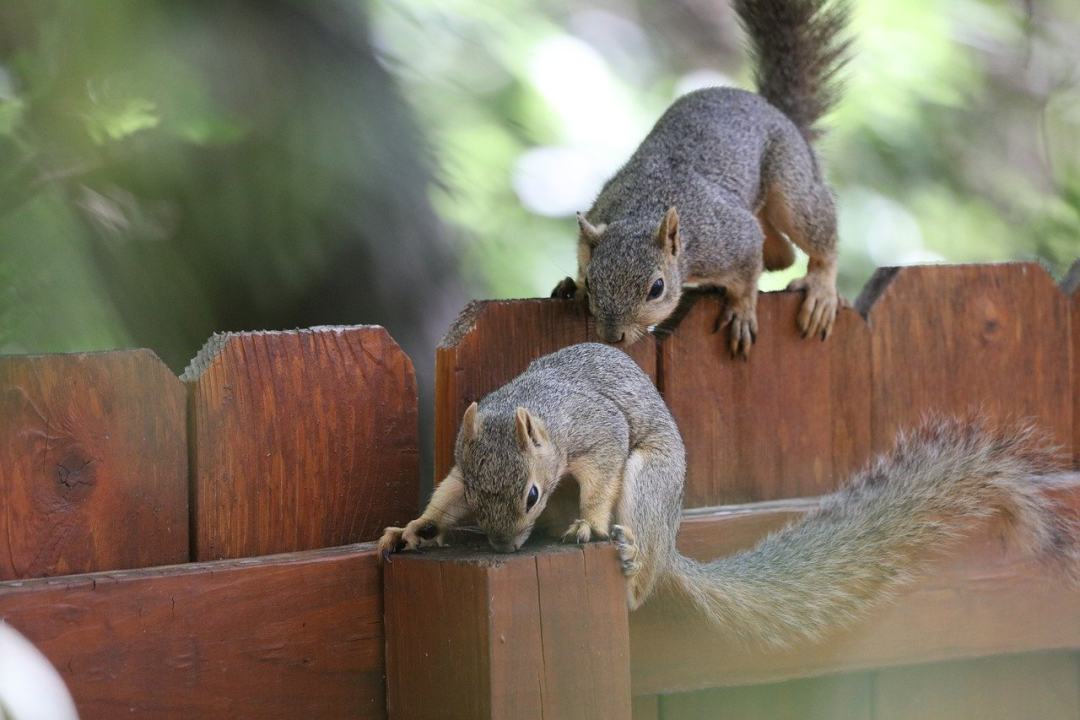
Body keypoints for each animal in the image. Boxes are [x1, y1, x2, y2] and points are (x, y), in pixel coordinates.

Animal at [382, 343, 1080, 647]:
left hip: (652, 488)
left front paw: (585, 522)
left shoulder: (599, 434)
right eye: (479, 494)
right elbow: (442, 497)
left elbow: (601, 476)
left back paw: (629, 564)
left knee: (642, 563)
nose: (503, 548)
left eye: (531, 494)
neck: (538, 409)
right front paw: (415, 530)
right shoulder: (460, 469)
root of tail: (670, 544)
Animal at [557, 0, 851, 358]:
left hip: (792, 186)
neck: (644, 210)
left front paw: (741, 311)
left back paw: (821, 289)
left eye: (657, 288)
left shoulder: (732, 239)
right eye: (593, 281)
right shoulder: (598, 217)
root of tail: (773, 109)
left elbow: (747, 275)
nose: (613, 336)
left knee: (818, 237)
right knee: (782, 255)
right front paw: (571, 286)